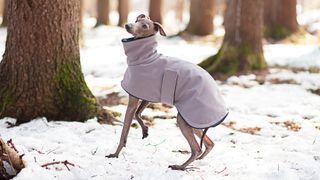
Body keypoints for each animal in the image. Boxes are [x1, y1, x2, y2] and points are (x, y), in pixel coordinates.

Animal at [106, 14, 229, 170]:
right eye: (137, 21)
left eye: (144, 26)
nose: (128, 26)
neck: (146, 59)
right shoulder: (147, 95)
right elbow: (138, 113)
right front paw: (145, 129)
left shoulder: (133, 98)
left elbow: (124, 131)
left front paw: (115, 154)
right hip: (194, 120)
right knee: (209, 143)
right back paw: (198, 160)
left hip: (185, 118)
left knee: (197, 148)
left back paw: (180, 166)